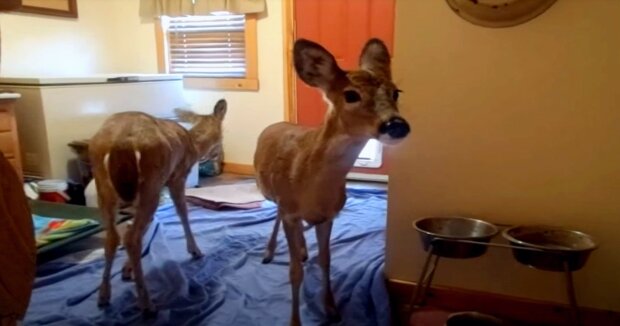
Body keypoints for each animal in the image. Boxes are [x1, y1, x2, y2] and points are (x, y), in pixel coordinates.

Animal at [89, 98, 228, 316]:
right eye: (222, 133)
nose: (217, 156)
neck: (193, 145)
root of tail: (121, 143)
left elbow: (147, 222)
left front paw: (127, 269)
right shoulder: (177, 176)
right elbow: (182, 211)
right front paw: (195, 250)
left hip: (104, 186)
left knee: (113, 237)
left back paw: (104, 296)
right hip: (151, 180)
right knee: (131, 237)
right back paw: (147, 304)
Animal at [254, 37, 410, 324]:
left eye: (396, 92)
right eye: (351, 95)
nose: (396, 125)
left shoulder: (328, 216)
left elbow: (325, 260)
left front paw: (332, 309)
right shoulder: (290, 209)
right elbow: (294, 271)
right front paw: (295, 321)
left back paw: (302, 249)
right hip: (268, 191)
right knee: (276, 217)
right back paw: (269, 253)